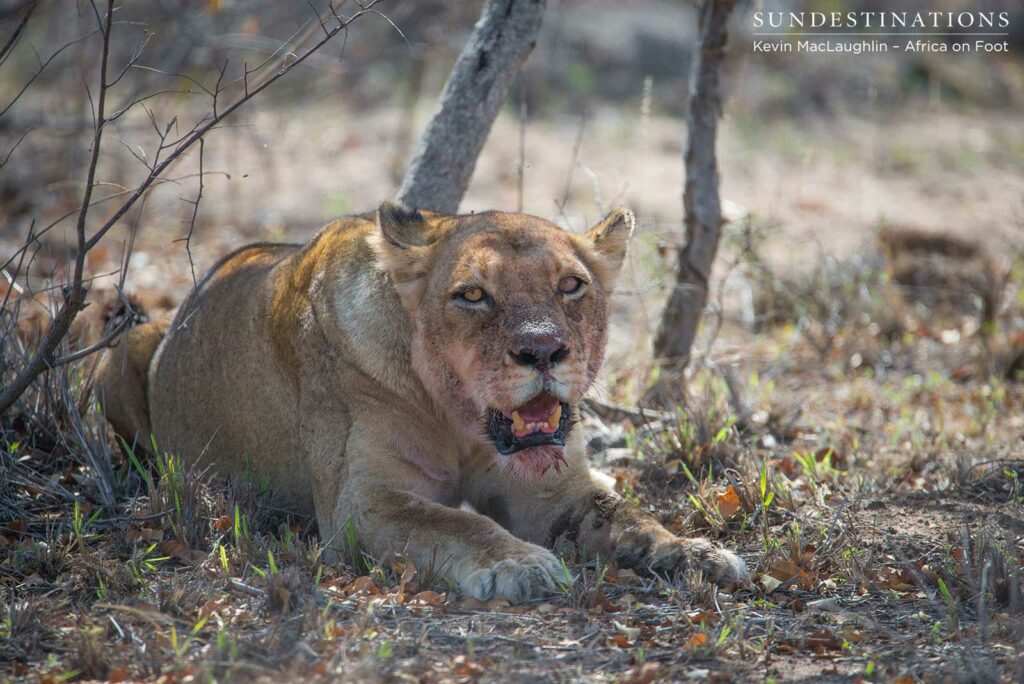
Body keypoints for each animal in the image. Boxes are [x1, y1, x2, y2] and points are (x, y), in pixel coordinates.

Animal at [96, 202, 748, 603]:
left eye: (570, 285)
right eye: (473, 295)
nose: (543, 350)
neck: (462, 423)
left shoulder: (550, 490)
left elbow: (629, 516)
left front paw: (699, 553)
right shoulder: (361, 507)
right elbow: (455, 523)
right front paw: (522, 565)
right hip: (124, 347)